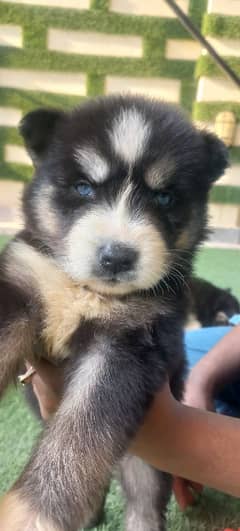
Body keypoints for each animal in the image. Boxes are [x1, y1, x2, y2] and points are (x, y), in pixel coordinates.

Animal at [0, 96, 229, 531]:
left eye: (164, 197)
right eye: (83, 187)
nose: (116, 257)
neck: (86, 292)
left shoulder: (128, 344)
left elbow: (79, 433)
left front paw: (28, 515)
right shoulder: (21, 284)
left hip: (150, 456)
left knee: (144, 497)